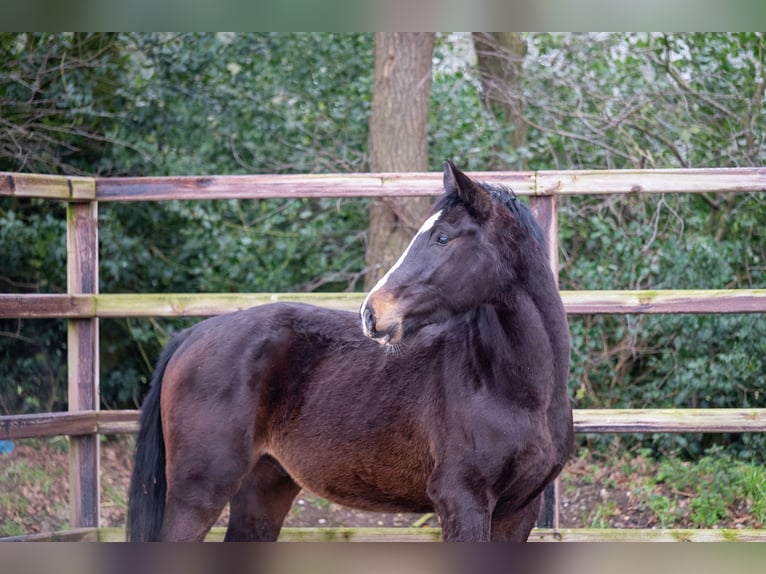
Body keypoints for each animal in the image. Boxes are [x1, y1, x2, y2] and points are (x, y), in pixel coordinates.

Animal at [126, 160, 572, 544]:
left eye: (443, 237)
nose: (372, 312)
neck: (512, 391)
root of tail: (191, 334)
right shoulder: (464, 503)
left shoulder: (517, 513)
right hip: (198, 493)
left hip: (264, 489)